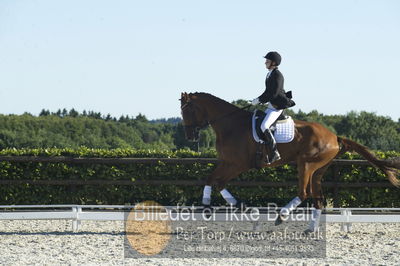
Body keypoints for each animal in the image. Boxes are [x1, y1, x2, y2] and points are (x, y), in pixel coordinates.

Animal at [180, 92, 400, 233]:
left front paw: (244, 209)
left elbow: (218, 182)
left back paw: (282, 216)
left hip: (306, 164)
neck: (230, 124)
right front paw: (208, 207)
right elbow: (212, 180)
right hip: (318, 170)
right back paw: (310, 230)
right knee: (318, 199)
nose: (190, 136)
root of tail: (335, 137)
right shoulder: (227, 162)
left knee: (304, 193)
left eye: (188, 110)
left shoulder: (238, 164)